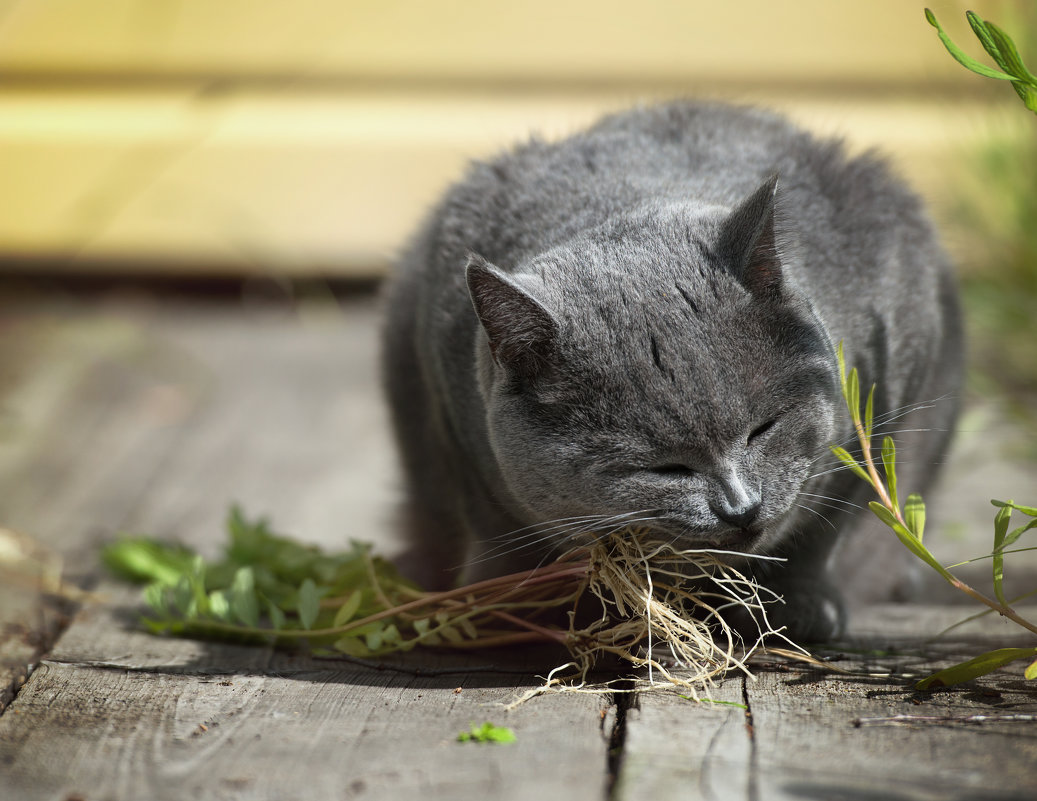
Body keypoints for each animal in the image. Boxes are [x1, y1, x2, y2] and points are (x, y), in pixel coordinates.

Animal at [381, 100, 962, 643]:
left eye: (763, 428)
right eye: (663, 468)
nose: (741, 508)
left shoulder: (888, 387)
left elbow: (830, 522)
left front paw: (798, 605)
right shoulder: (447, 401)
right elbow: (492, 521)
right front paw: (505, 604)